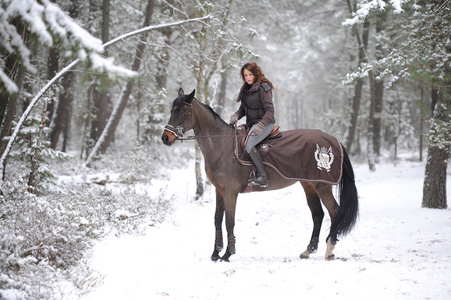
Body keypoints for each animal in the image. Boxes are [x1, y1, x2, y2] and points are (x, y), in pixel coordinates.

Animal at [161, 88, 358, 262]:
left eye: (181, 111)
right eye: (172, 110)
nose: (165, 138)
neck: (223, 147)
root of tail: (333, 140)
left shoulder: (231, 192)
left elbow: (229, 222)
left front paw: (227, 254)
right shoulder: (220, 191)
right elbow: (217, 220)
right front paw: (215, 253)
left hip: (322, 186)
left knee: (334, 211)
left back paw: (330, 250)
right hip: (309, 184)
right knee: (318, 214)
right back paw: (308, 250)